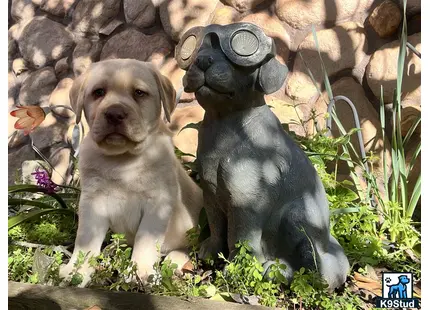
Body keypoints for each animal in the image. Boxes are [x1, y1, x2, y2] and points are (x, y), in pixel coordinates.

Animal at [59, 59, 205, 286]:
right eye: (98, 92)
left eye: (139, 93)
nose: (114, 114)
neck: (123, 161)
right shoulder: (92, 203)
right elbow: (85, 239)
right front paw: (77, 270)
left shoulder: (158, 204)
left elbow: (145, 239)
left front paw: (141, 272)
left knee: (186, 248)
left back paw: (175, 261)